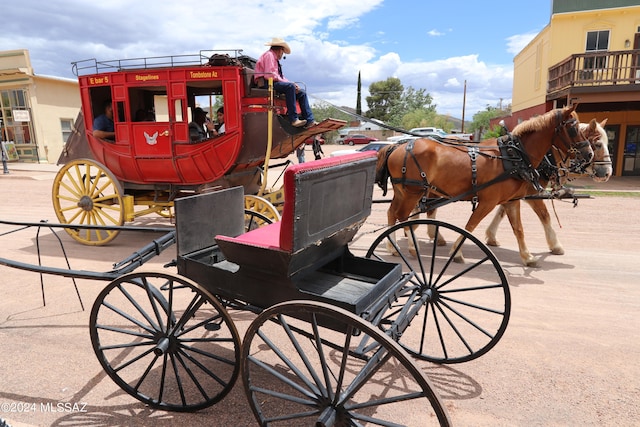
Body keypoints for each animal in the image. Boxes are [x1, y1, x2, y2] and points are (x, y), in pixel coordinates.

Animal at [376, 104, 596, 264]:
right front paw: (457, 253)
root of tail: (397, 146)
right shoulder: (489, 201)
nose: (589, 154)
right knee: (402, 216)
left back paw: (393, 247)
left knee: (392, 213)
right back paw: (412, 248)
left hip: (403, 192)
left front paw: (527, 257)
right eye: (573, 128)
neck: (514, 156)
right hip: (413, 192)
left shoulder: (512, 200)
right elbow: (470, 226)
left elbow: (519, 229)